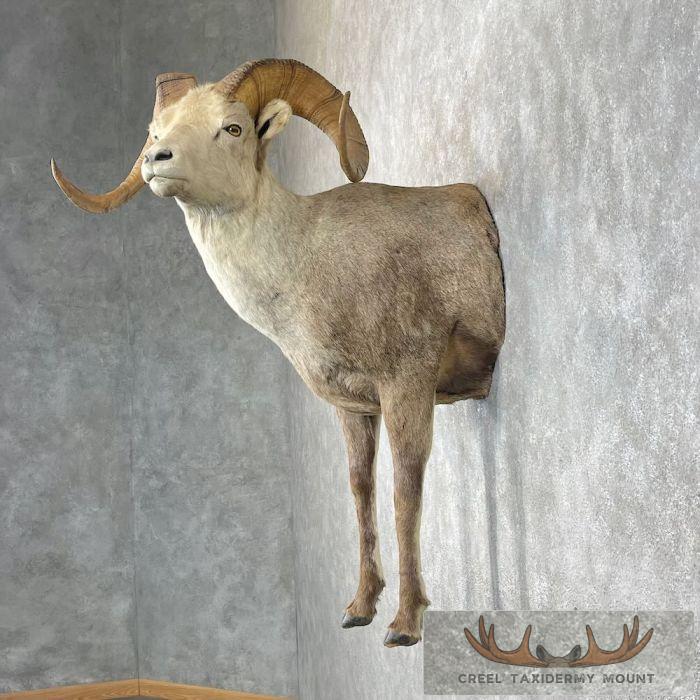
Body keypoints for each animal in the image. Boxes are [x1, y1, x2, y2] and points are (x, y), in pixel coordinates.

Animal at [51, 59, 505, 647]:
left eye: (233, 127)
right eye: (156, 132)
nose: (157, 161)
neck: (305, 267)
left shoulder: (406, 386)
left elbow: (405, 491)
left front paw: (405, 626)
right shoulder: (354, 408)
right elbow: (361, 489)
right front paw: (359, 609)